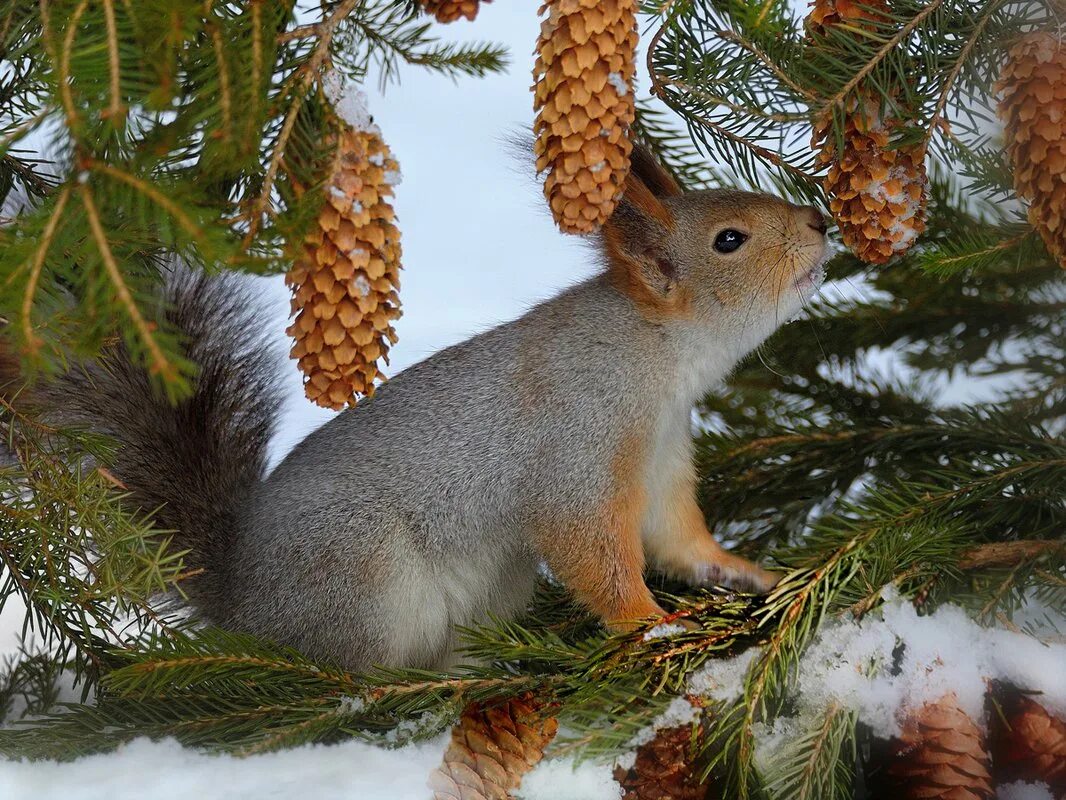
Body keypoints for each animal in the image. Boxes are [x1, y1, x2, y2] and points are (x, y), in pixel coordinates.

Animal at [22, 147, 822, 674]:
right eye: (729, 240)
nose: (819, 222)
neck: (659, 354)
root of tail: (242, 601)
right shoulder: (581, 439)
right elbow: (593, 549)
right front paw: (652, 625)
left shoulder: (660, 456)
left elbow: (676, 537)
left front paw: (745, 574)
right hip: (361, 575)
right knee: (346, 674)